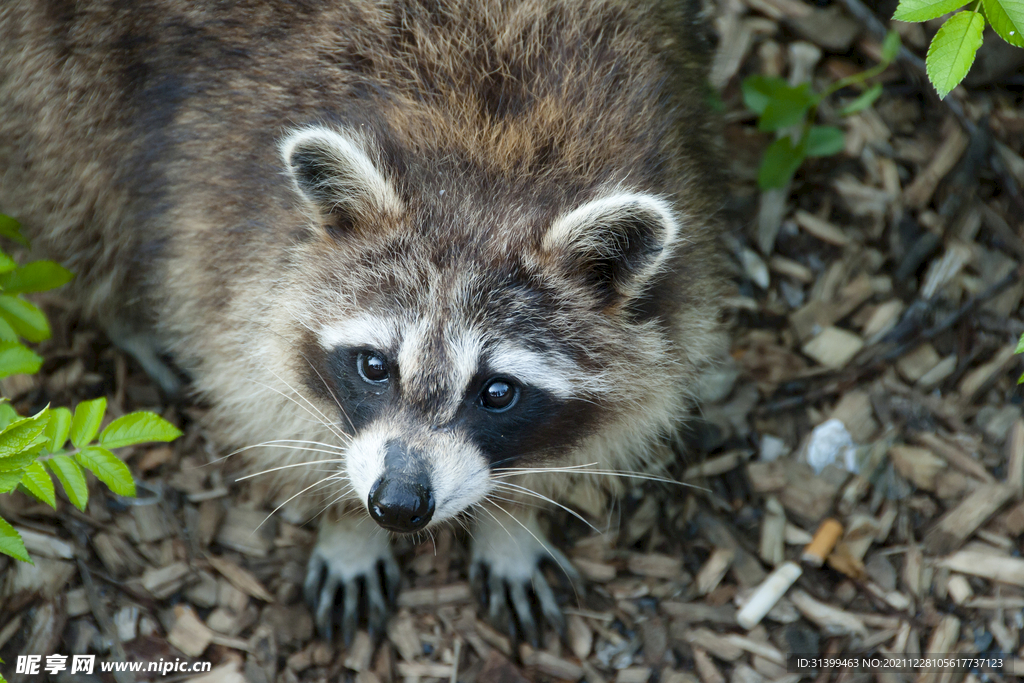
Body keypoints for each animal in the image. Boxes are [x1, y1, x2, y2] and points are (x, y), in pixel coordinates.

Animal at [0, 0, 724, 647]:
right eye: (375, 365)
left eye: (498, 391)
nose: (397, 504)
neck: (492, 160)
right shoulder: (229, 237)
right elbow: (267, 395)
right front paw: (346, 521)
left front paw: (515, 522)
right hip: (60, 67)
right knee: (76, 181)